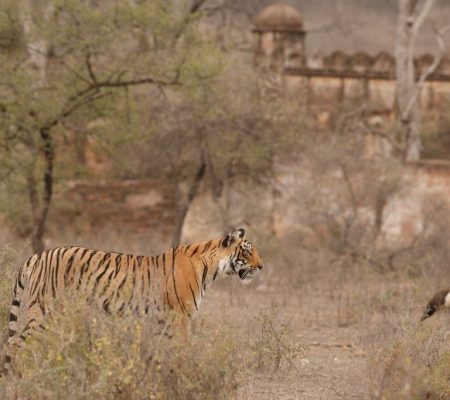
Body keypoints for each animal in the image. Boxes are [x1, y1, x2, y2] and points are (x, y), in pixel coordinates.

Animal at [5, 228, 262, 372]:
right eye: (247, 251)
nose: (261, 266)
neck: (211, 267)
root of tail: (38, 255)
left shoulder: (163, 321)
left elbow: (162, 351)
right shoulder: (180, 317)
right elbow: (182, 349)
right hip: (42, 311)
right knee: (17, 344)